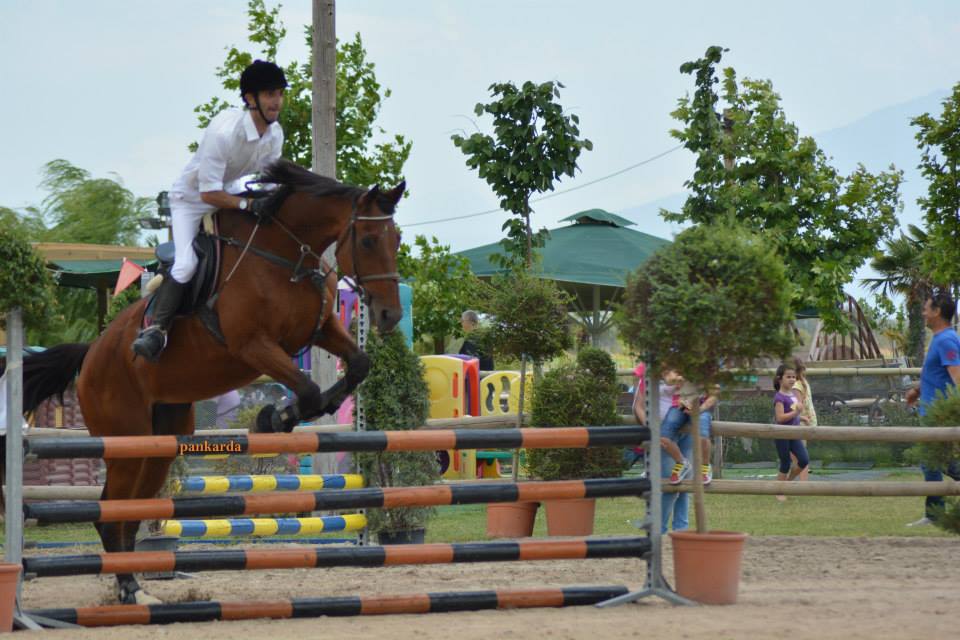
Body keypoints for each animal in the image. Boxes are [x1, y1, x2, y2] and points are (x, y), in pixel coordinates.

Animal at [19, 158, 402, 604]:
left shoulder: (320, 329)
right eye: (369, 241)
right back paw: (129, 587)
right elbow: (305, 389)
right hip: (125, 439)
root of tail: (92, 351)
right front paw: (273, 418)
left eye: (397, 238)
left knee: (129, 512)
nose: (390, 315)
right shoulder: (252, 345)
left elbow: (359, 365)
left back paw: (135, 586)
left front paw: (314, 407)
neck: (286, 255)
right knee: (110, 513)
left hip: (158, 443)